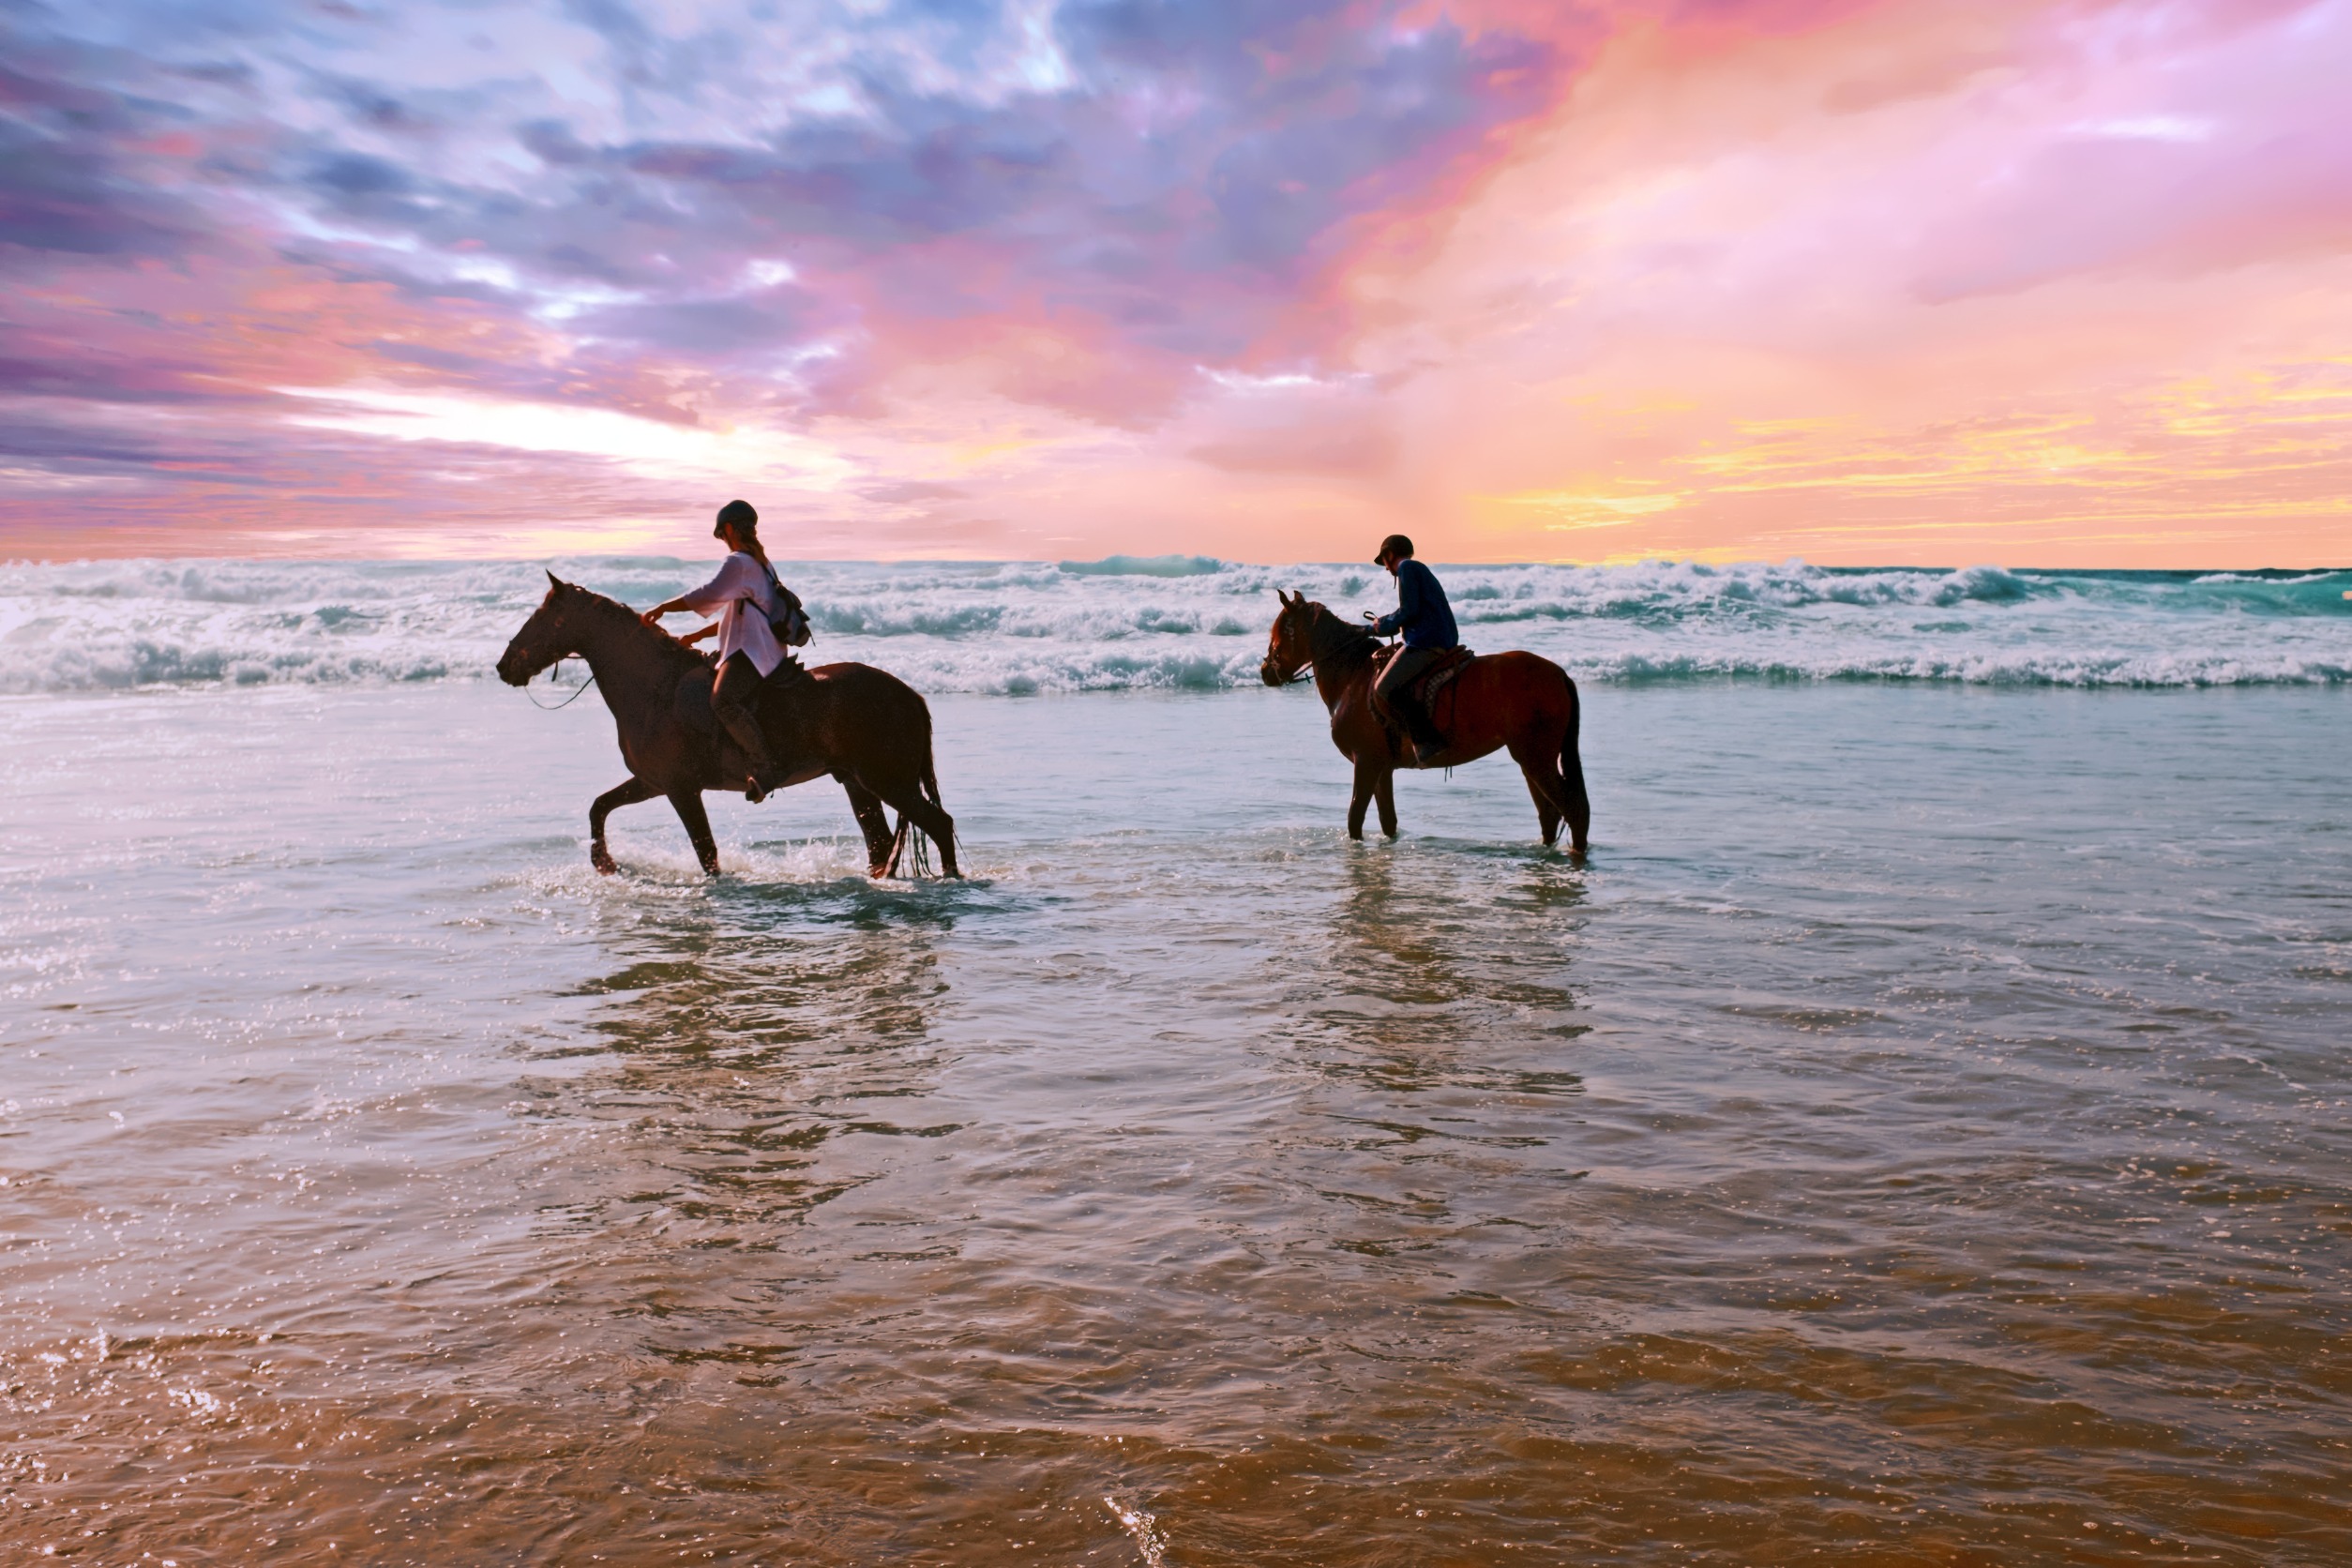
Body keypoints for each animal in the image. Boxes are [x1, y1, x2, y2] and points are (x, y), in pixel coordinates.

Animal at [501, 573, 959, 879]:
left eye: (541, 618)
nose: (505, 666)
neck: (657, 688)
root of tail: (910, 695)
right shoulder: (653, 782)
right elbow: (599, 806)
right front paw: (604, 862)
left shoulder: (681, 789)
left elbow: (706, 853)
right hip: (857, 783)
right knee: (881, 844)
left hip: (888, 782)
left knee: (939, 825)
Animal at [1260, 592, 1590, 860]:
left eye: (1279, 633)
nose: (1265, 671)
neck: (1355, 676)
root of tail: (1559, 674)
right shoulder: (1381, 769)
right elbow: (1388, 821)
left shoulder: (1365, 763)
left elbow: (1355, 818)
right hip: (1530, 760)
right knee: (1549, 815)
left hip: (1536, 759)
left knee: (1573, 810)